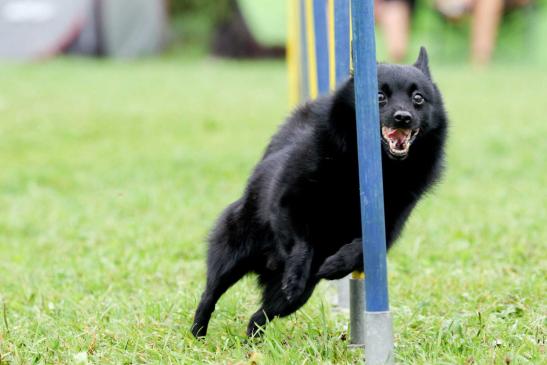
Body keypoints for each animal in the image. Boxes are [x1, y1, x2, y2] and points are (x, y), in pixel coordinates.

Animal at [191, 47, 448, 336]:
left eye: (418, 98)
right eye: (379, 96)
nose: (402, 117)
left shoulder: (387, 226)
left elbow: (360, 247)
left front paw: (336, 265)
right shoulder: (288, 204)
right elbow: (303, 243)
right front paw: (296, 273)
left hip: (291, 301)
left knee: (259, 316)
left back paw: (250, 341)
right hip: (232, 254)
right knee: (210, 293)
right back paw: (198, 332)